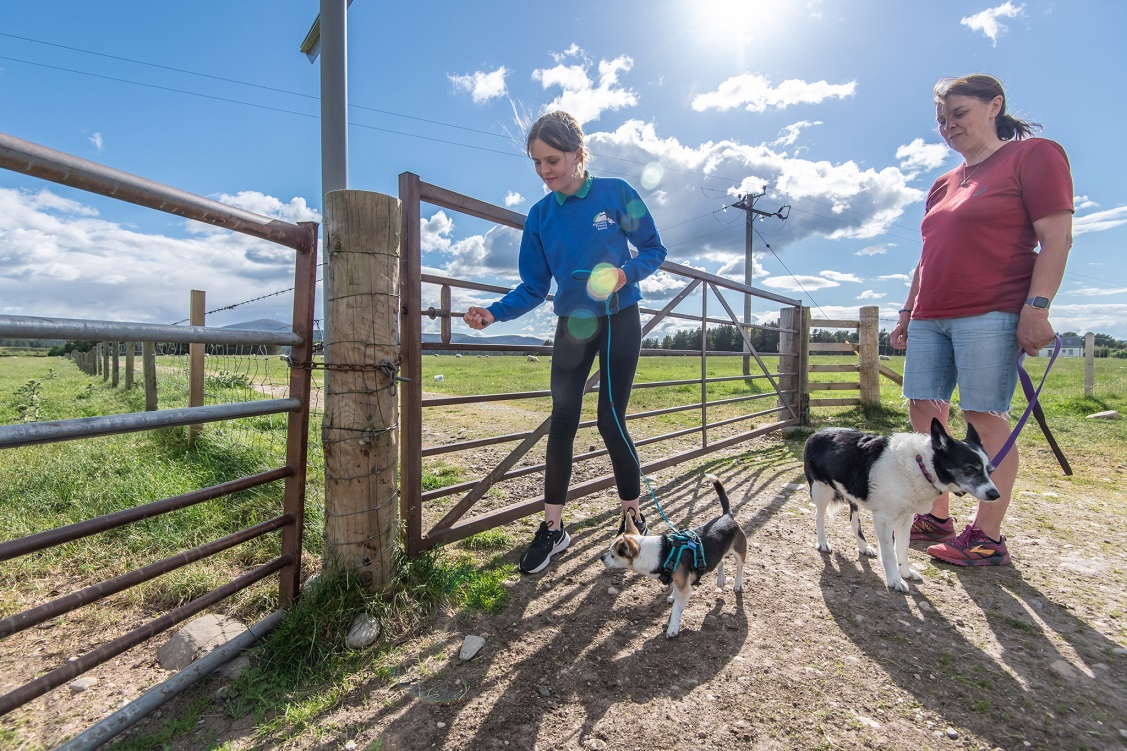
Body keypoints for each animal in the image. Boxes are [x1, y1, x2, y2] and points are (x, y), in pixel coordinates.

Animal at [599, 473, 748, 631]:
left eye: (613, 555)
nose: (601, 557)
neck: (663, 554)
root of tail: (727, 515)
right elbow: (675, 590)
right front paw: (672, 595)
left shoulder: (685, 589)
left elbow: (677, 608)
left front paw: (672, 628)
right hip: (714, 554)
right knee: (721, 561)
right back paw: (720, 579)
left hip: (739, 552)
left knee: (739, 568)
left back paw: (738, 584)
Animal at [802, 414, 996, 590]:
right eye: (969, 469)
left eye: (990, 470)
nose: (995, 494)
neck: (922, 465)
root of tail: (817, 433)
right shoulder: (884, 519)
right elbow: (889, 552)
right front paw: (895, 580)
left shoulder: (906, 518)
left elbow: (902, 547)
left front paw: (905, 573)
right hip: (821, 490)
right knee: (818, 517)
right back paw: (823, 542)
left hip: (852, 492)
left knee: (854, 521)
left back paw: (864, 546)